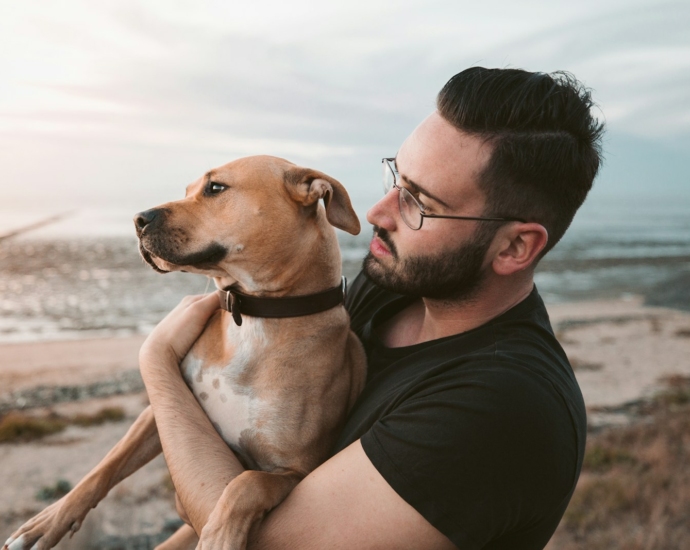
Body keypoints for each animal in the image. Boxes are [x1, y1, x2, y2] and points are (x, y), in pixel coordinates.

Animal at [5, 155, 368, 550]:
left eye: (215, 188)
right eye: (188, 190)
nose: (138, 219)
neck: (254, 317)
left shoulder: (295, 472)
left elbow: (247, 484)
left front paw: (218, 537)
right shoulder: (164, 406)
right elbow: (108, 463)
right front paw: (47, 522)